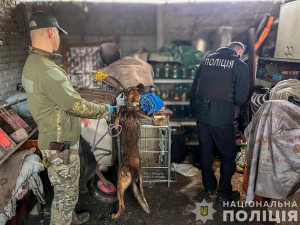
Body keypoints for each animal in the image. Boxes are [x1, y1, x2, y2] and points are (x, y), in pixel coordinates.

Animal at [111, 87, 150, 219]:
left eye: (125, 91)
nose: (121, 90)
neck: (132, 106)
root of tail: (135, 170)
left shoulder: (117, 123)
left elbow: (117, 117)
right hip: (140, 184)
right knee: (142, 196)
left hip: (119, 184)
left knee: (122, 205)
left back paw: (115, 215)